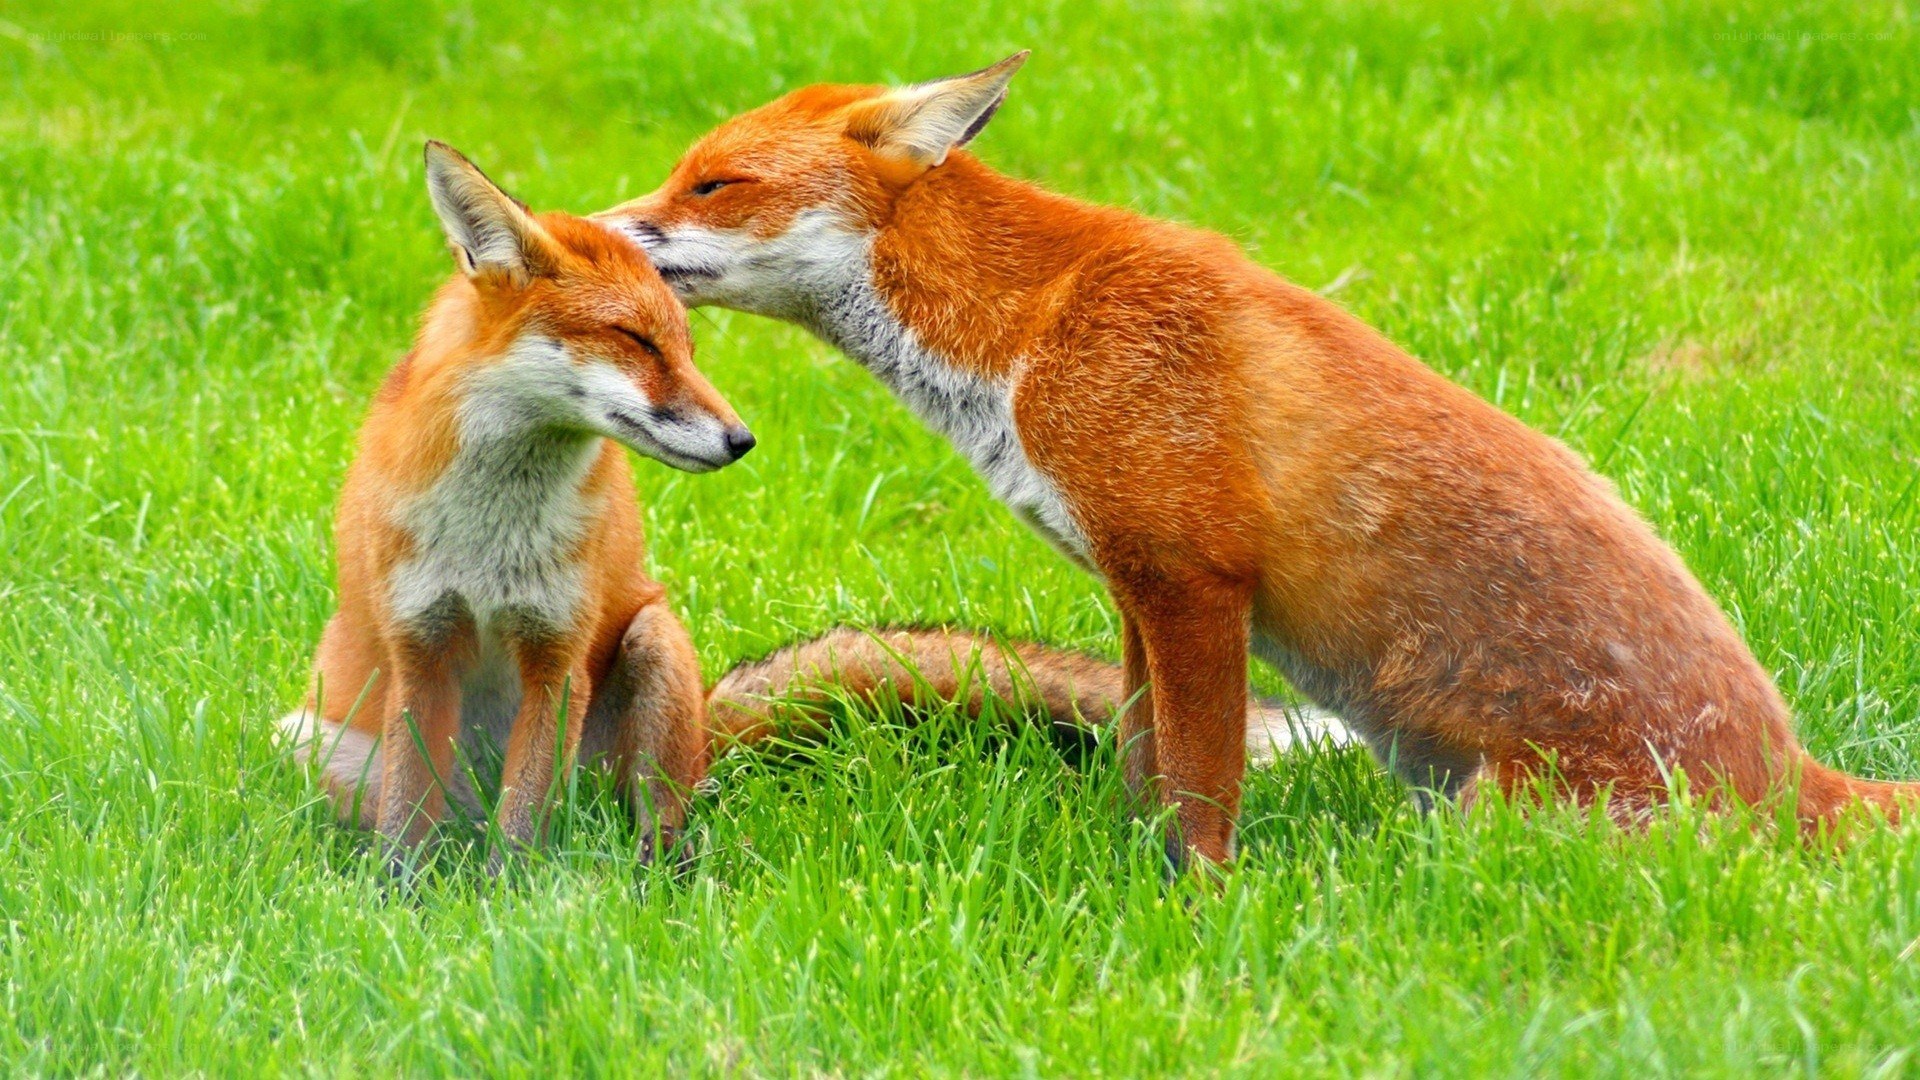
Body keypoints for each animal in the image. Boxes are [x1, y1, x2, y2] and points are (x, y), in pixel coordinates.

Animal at [280, 140, 1339, 875]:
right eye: (635, 340)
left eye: (687, 344)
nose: (740, 440)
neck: (493, 528)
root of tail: (708, 731)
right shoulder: (421, 644)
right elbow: (409, 825)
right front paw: (411, 911)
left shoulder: (556, 652)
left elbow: (520, 825)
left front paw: (505, 905)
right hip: (314, 739)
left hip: (652, 648)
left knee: (648, 823)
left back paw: (654, 879)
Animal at [596, 52, 1917, 866]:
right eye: (679, 173)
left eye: (713, 182)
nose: (585, 233)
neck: (1027, 334)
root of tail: (1798, 779)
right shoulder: (1135, 588)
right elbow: (1143, 767)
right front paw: (1129, 876)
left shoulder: (1196, 581)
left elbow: (1203, 791)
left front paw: (1199, 908)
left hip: (1487, 822)